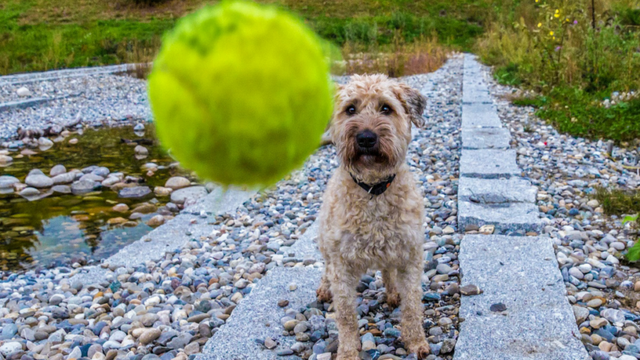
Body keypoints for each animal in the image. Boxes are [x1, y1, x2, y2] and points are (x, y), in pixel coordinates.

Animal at [316, 74, 430, 360]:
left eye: (386, 108)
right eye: (350, 109)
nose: (366, 138)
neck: (374, 189)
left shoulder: (411, 256)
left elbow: (413, 304)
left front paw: (416, 342)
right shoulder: (341, 266)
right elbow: (345, 316)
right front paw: (347, 352)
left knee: (388, 270)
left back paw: (392, 292)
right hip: (325, 243)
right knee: (325, 267)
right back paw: (324, 288)